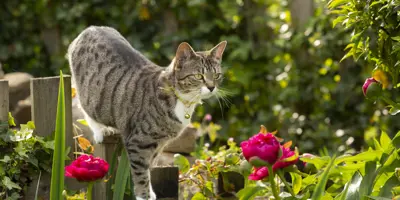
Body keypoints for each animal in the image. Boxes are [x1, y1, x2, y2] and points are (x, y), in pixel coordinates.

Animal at [67, 26, 227, 200]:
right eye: (198, 76)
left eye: (217, 75)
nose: (211, 87)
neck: (181, 99)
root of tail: (90, 29)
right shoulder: (138, 141)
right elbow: (141, 172)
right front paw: (144, 195)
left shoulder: (159, 143)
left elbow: (149, 167)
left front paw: (150, 191)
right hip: (90, 97)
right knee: (86, 109)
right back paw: (101, 130)